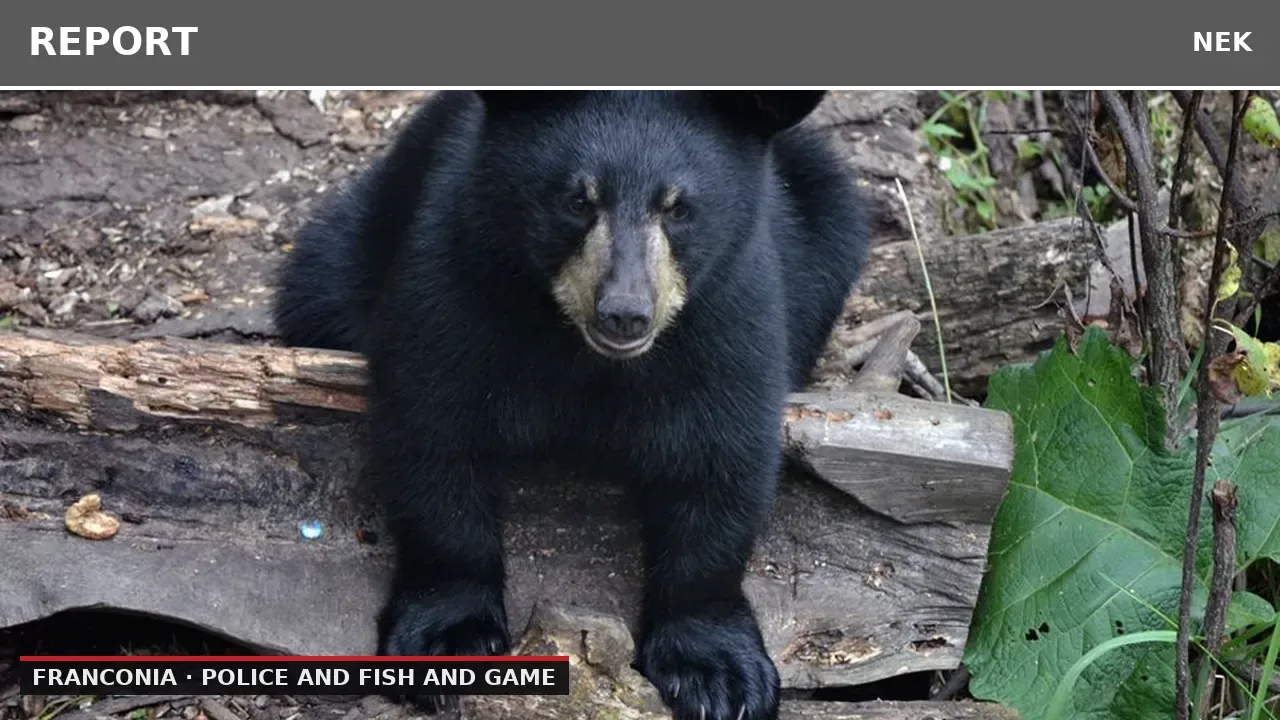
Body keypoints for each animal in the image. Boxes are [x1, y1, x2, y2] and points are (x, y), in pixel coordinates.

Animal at [273, 90, 869, 720]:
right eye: (578, 200)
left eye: (679, 208)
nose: (625, 313)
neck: (588, 354)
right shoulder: (457, 274)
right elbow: (432, 432)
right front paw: (448, 636)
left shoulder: (731, 310)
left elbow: (720, 460)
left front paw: (719, 676)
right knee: (320, 283)